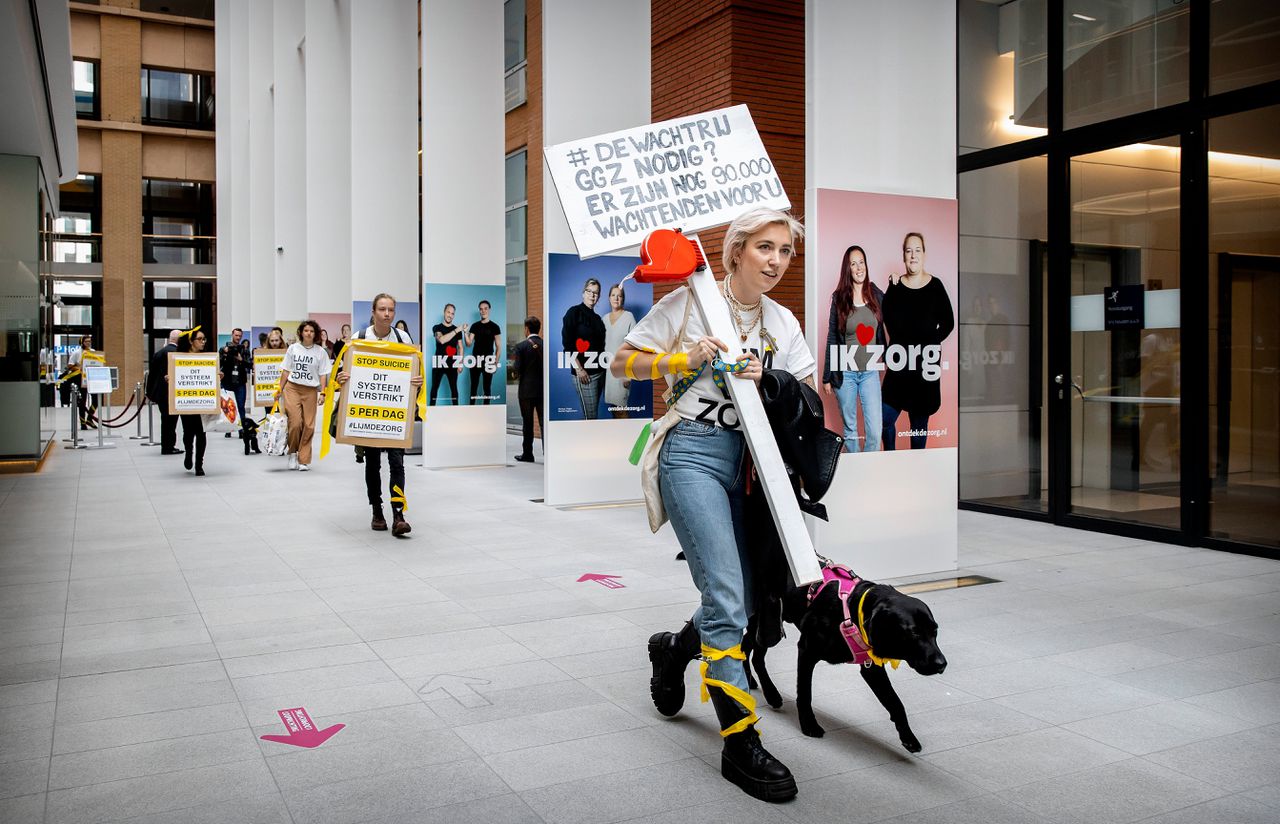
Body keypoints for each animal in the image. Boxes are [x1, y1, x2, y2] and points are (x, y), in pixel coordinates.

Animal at [747, 565, 947, 752]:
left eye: (935, 631)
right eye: (914, 632)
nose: (942, 664)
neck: (850, 611)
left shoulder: (872, 668)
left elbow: (896, 703)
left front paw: (908, 737)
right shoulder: (806, 651)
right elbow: (804, 692)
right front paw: (809, 724)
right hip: (766, 623)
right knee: (752, 654)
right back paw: (770, 694)